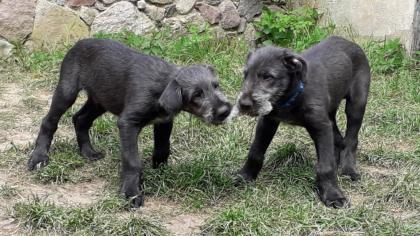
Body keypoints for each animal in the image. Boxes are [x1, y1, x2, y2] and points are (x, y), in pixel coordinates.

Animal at [28, 38, 233, 206]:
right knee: (49, 121)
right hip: (67, 90)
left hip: (100, 100)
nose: (225, 111)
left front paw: (160, 169)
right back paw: (39, 157)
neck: (161, 86)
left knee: (80, 119)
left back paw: (88, 152)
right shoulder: (128, 123)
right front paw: (131, 193)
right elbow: (132, 160)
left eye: (216, 86)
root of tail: (78, 43)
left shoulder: (164, 121)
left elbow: (163, 147)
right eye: (197, 95)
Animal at [235, 36, 370, 207]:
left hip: (356, 104)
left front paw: (332, 195)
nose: (243, 104)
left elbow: (326, 166)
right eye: (245, 75)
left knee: (351, 139)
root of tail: (350, 42)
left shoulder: (320, 126)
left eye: (268, 77)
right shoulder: (267, 122)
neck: (291, 97)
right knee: (338, 140)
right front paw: (245, 176)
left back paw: (348, 169)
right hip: (329, 114)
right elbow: (255, 151)